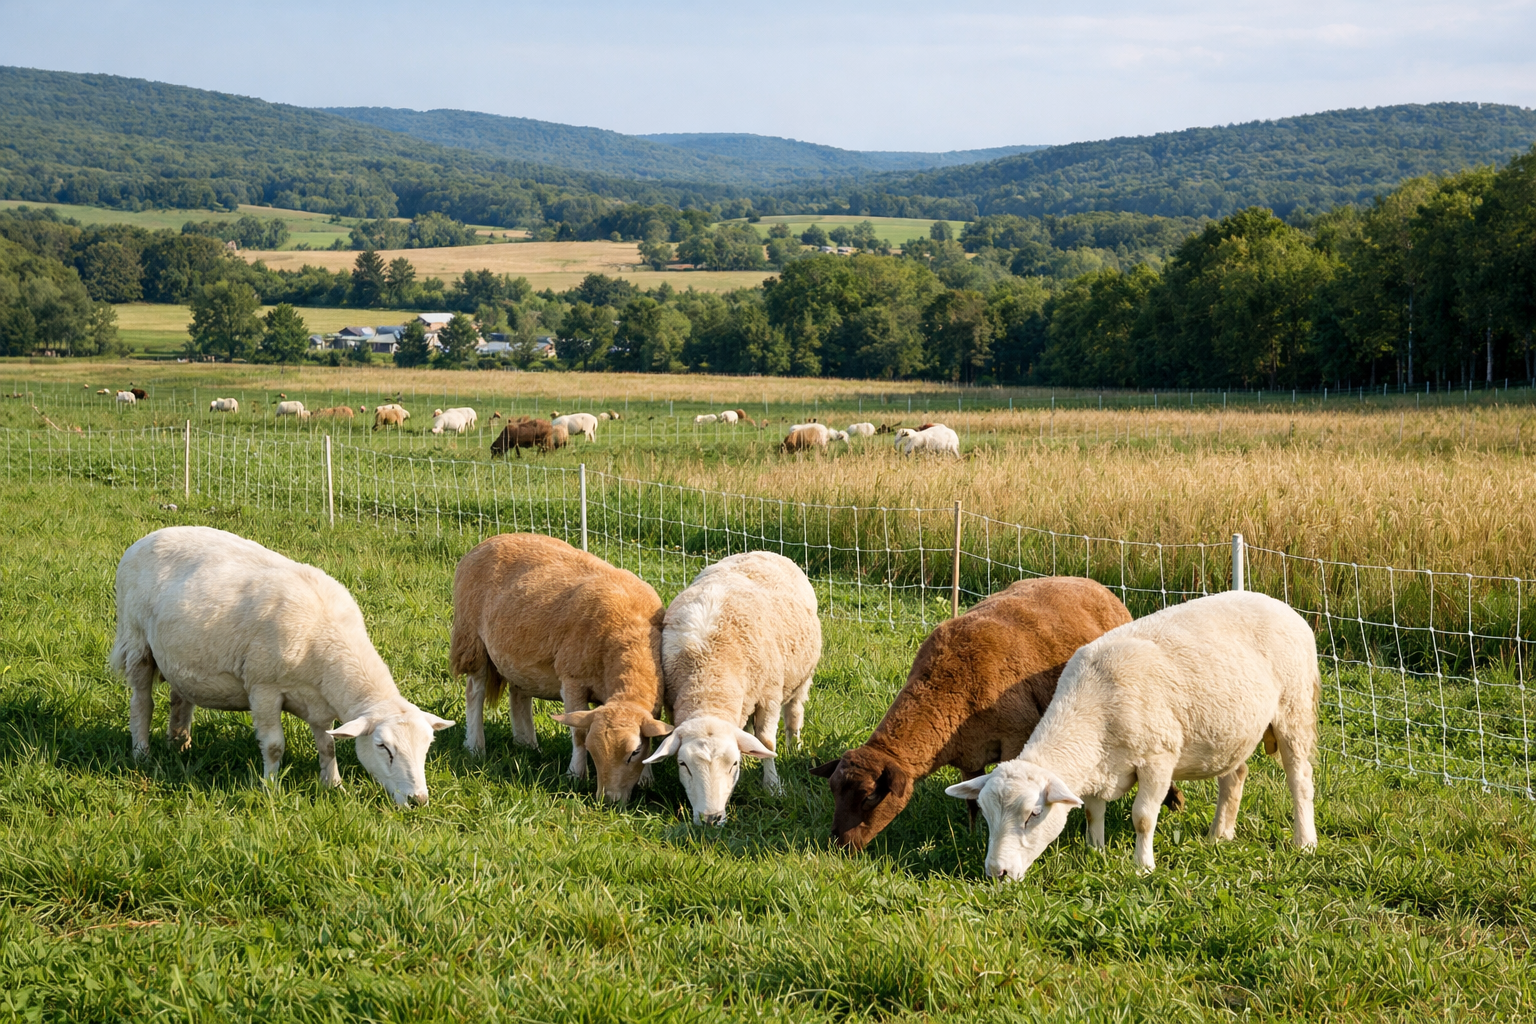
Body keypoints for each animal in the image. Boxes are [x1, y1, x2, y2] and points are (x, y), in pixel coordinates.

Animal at [109, 526, 453, 805]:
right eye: (384, 747)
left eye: (427, 747)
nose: (418, 800)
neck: (326, 638)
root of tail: (148, 537)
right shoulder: (263, 688)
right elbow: (274, 746)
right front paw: (270, 788)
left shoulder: (319, 702)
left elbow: (328, 746)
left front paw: (334, 786)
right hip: (136, 641)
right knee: (142, 702)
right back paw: (142, 754)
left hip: (182, 654)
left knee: (180, 698)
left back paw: (180, 746)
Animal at [450, 533, 670, 802]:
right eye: (593, 751)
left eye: (635, 752)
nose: (607, 801)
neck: (630, 633)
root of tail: (489, 540)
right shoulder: (573, 680)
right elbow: (578, 734)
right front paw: (575, 775)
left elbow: (654, 738)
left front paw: (647, 780)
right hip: (471, 638)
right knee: (475, 692)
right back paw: (475, 746)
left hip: (519, 654)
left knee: (518, 695)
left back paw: (527, 745)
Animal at [645, 552, 821, 823]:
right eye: (683, 765)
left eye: (733, 765)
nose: (711, 818)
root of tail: (761, 551)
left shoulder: (769, 696)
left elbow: (767, 742)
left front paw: (773, 786)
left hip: (802, 679)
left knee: (794, 714)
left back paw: (794, 747)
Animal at [811, 577, 1183, 851]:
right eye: (832, 790)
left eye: (871, 795)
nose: (840, 845)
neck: (947, 688)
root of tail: (1096, 584)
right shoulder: (967, 755)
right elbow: (972, 802)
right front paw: (974, 835)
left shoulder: (1016, 739)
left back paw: (1174, 798)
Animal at [946, 590, 1319, 878]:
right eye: (987, 815)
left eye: (1034, 815)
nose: (997, 873)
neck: (1092, 707)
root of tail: (1280, 604)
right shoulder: (1098, 768)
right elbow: (1092, 812)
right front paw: (1095, 852)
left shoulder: (1157, 761)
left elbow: (1142, 818)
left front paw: (1143, 867)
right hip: (1228, 730)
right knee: (1235, 775)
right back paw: (1218, 836)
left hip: (1294, 708)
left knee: (1299, 779)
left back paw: (1305, 842)